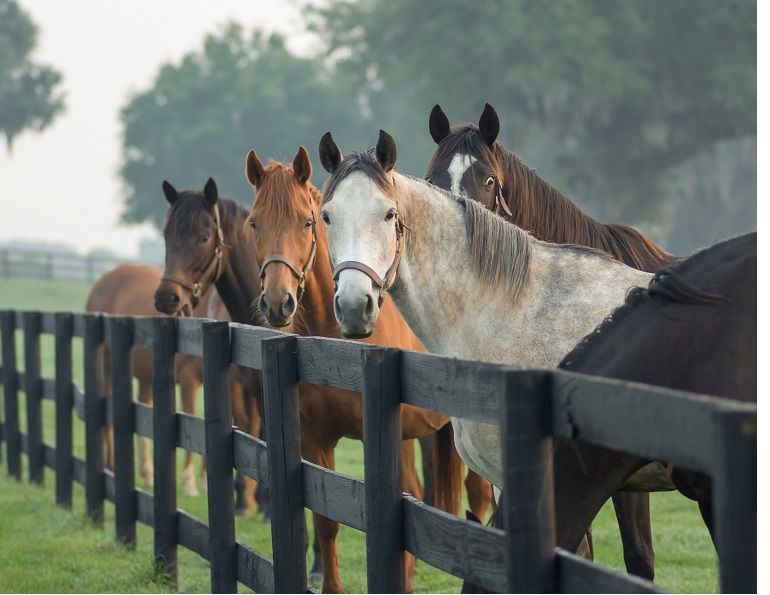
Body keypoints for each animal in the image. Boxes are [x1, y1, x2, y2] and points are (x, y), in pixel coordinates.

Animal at [243, 148, 469, 593]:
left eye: (306, 221)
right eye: (254, 222)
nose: (277, 302)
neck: (336, 347)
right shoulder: (315, 439)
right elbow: (326, 521)